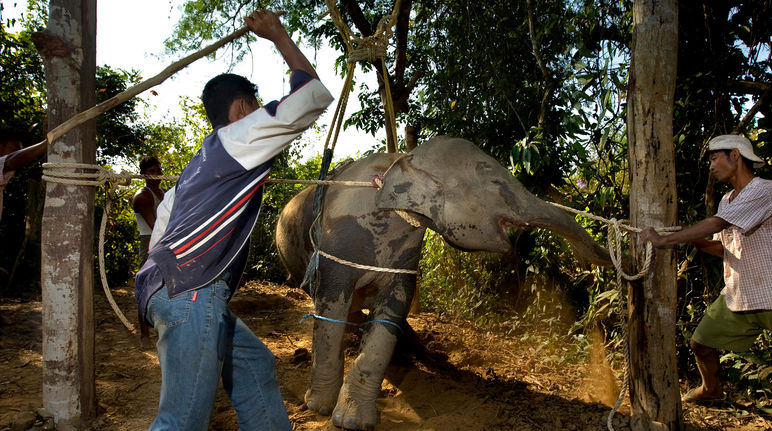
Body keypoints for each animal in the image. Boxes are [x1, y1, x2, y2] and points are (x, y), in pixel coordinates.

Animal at [274, 135, 612, 428]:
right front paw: (319, 407)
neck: (401, 161)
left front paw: (354, 421)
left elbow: (392, 313)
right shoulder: (337, 244)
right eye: (496, 183)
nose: (608, 257)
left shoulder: (406, 256)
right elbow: (329, 309)